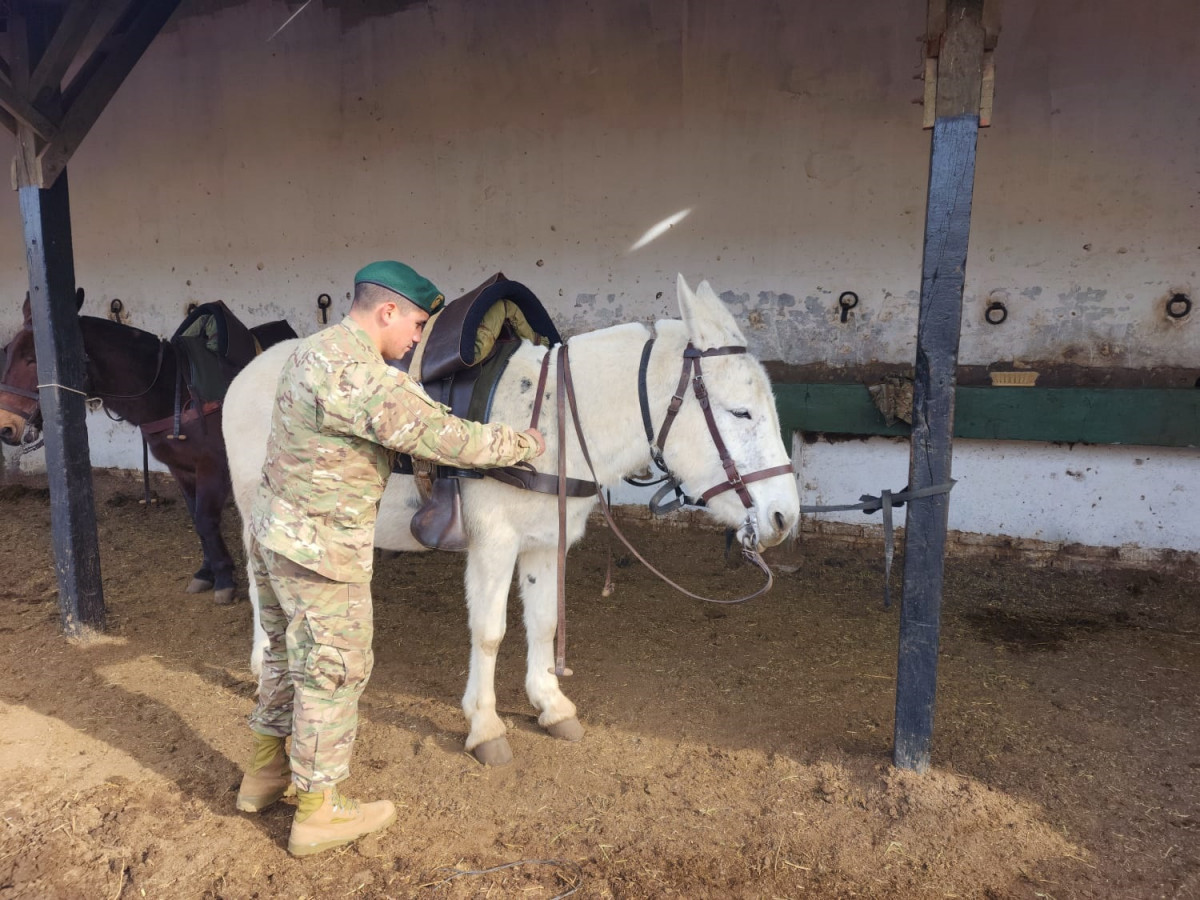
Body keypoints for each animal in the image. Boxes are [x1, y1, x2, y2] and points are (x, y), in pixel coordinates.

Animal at [0, 294, 290, 607]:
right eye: (8, 353)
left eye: (35, 360)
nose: (6, 426)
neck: (172, 390)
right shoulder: (181, 468)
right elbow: (197, 519)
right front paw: (206, 572)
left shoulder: (213, 467)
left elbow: (205, 519)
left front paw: (224, 578)